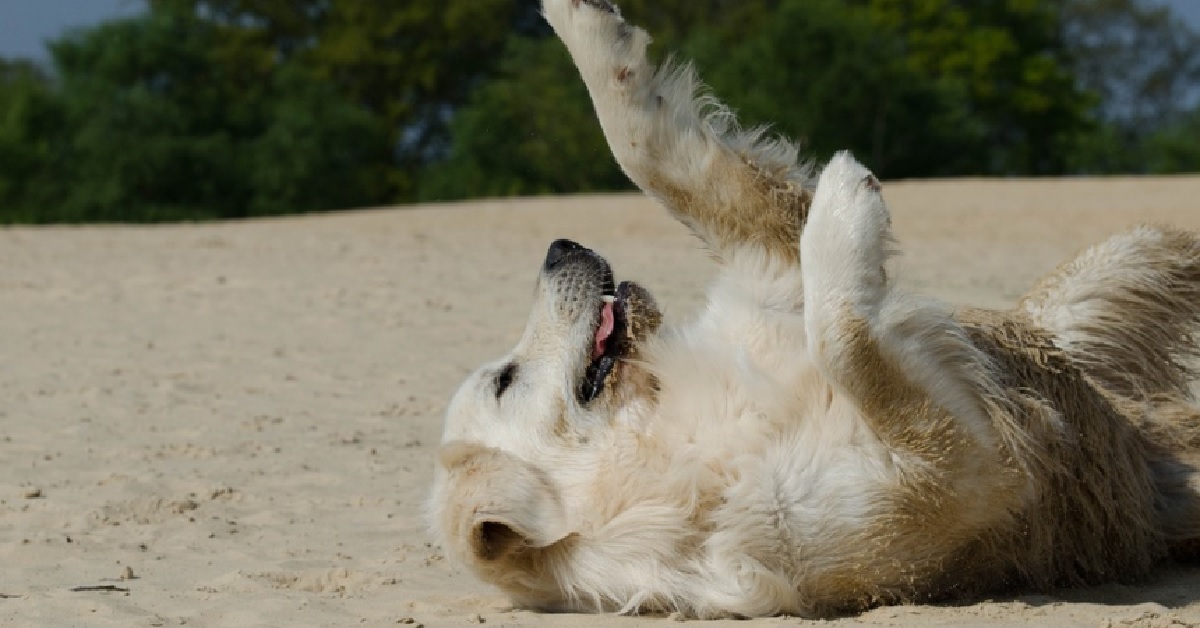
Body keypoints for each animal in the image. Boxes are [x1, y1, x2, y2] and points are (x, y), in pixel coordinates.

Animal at [429, 0, 1200, 619]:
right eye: (504, 380)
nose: (558, 246)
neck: (670, 428)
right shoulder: (958, 475)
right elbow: (845, 339)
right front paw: (847, 198)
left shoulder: (766, 270)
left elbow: (650, 149)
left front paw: (582, 22)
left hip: (1129, 258)